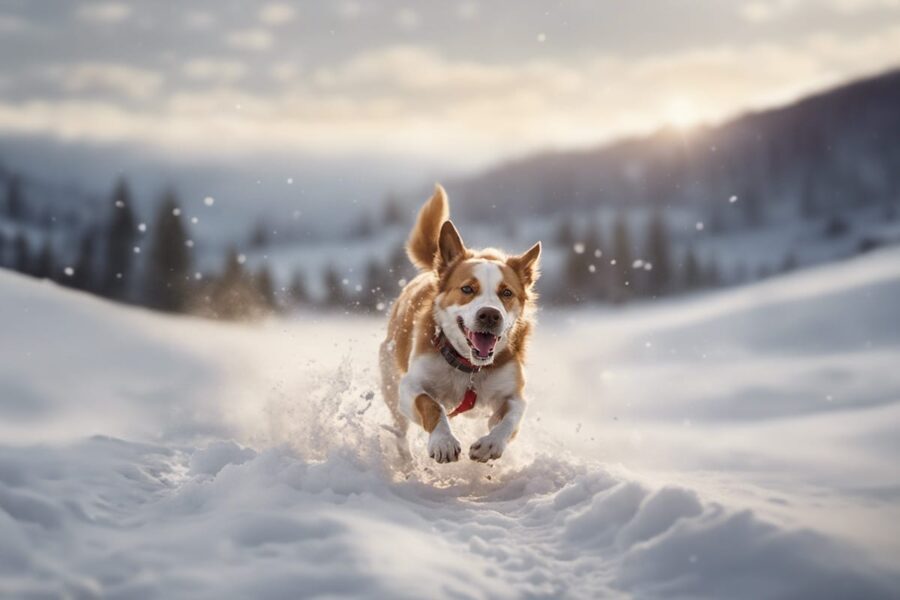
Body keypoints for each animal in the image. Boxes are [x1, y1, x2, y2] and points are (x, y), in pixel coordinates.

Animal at [380, 185, 540, 466]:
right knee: (400, 431)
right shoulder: (409, 385)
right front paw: (443, 441)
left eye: (506, 293)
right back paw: (406, 461)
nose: (490, 315)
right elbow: (431, 404)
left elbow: (511, 417)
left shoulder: (514, 392)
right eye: (467, 289)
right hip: (390, 381)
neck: (470, 369)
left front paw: (491, 444)